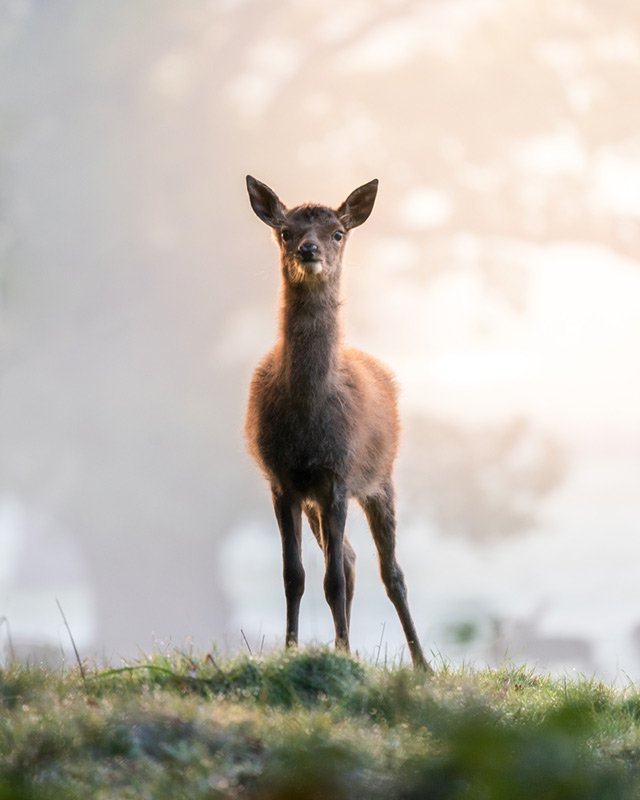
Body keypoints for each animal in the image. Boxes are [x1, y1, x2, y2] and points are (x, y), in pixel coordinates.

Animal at [244, 175, 429, 670]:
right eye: (285, 231)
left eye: (338, 232)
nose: (309, 250)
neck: (308, 420)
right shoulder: (284, 480)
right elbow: (294, 575)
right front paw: (291, 649)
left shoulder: (339, 474)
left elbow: (331, 581)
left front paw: (342, 653)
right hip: (317, 500)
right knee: (347, 557)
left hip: (380, 478)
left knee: (391, 571)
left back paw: (421, 662)